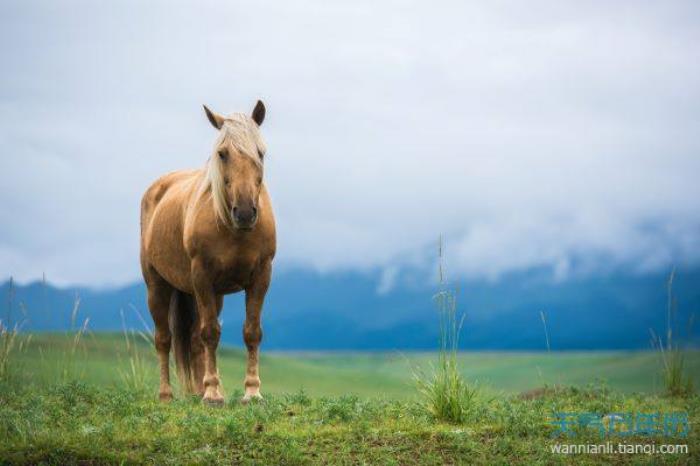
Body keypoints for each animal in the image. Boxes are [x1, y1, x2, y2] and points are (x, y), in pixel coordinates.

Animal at [140, 101, 276, 404]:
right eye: (222, 154)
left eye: (260, 152)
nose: (245, 212)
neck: (233, 230)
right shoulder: (201, 277)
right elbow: (211, 333)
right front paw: (213, 394)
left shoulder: (261, 276)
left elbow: (252, 332)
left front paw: (252, 392)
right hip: (158, 285)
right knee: (164, 339)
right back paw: (167, 394)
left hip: (212, 294)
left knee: (192, 340)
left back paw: (197, 391)